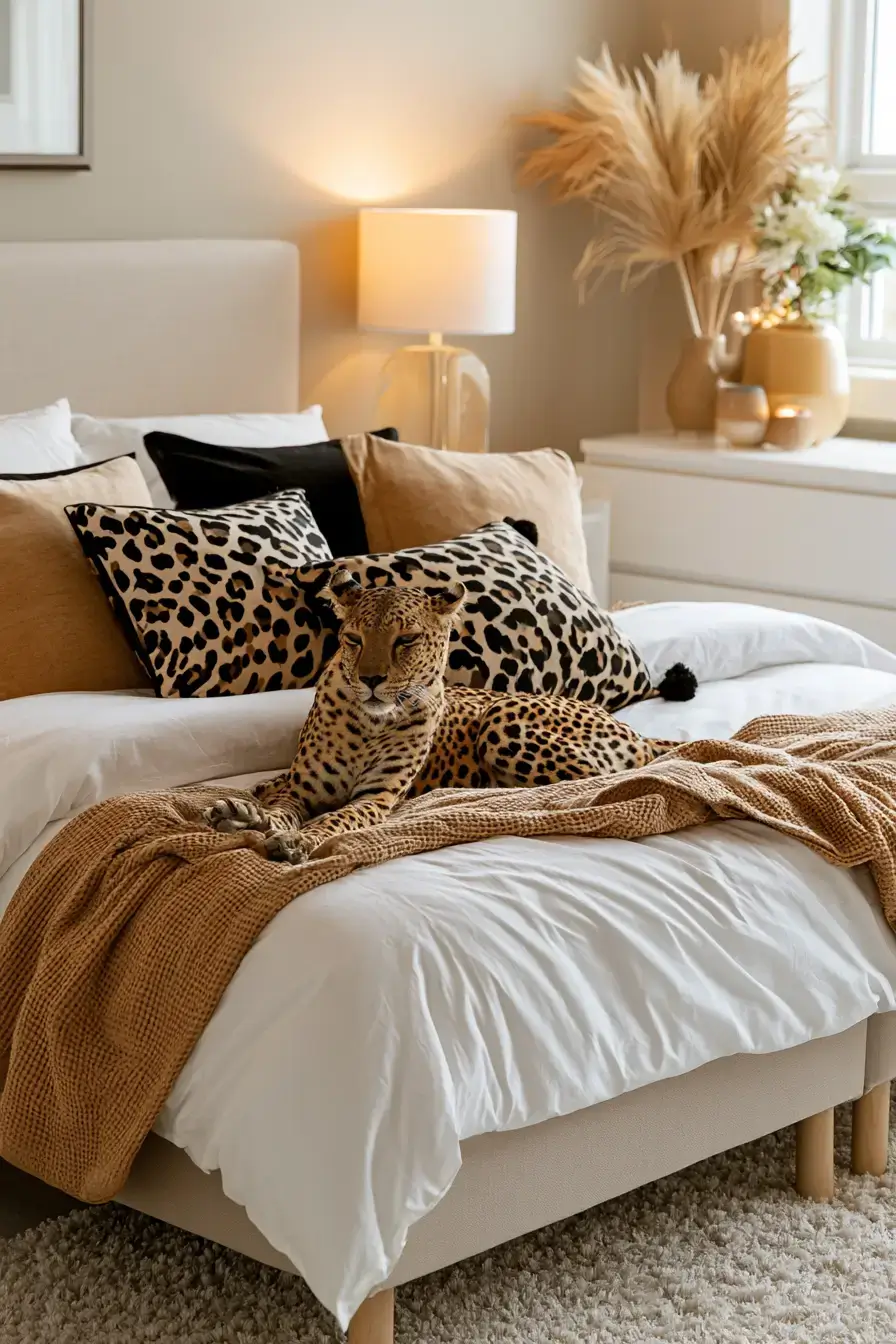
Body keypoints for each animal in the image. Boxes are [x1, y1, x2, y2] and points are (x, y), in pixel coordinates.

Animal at [203, 572, 685, 863]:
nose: (371, 679)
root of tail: (634, 730)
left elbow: (337, 820)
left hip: (501, 716)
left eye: (406, 640)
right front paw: (249, 817)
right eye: (354, 640)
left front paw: (298, 840)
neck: (370, 723)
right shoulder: (301, 790)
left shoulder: (376, 798)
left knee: (590, 784)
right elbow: (278, 804)